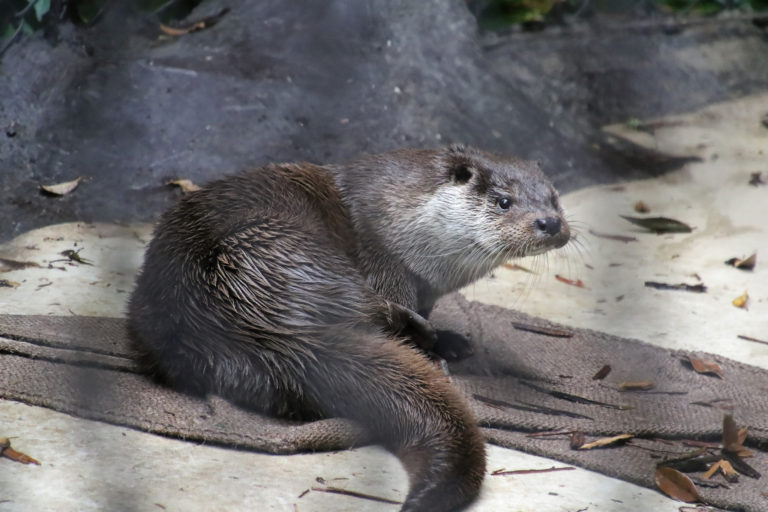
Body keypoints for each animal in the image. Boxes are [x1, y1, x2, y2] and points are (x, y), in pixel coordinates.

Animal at [128, 145, 570, 511]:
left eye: (553, 198)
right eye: (503, 201)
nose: (550, 222)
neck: (398, 223)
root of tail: (260, 320)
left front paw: (453, 340)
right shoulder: (387, 264)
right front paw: (440, 345)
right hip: (276, 245)